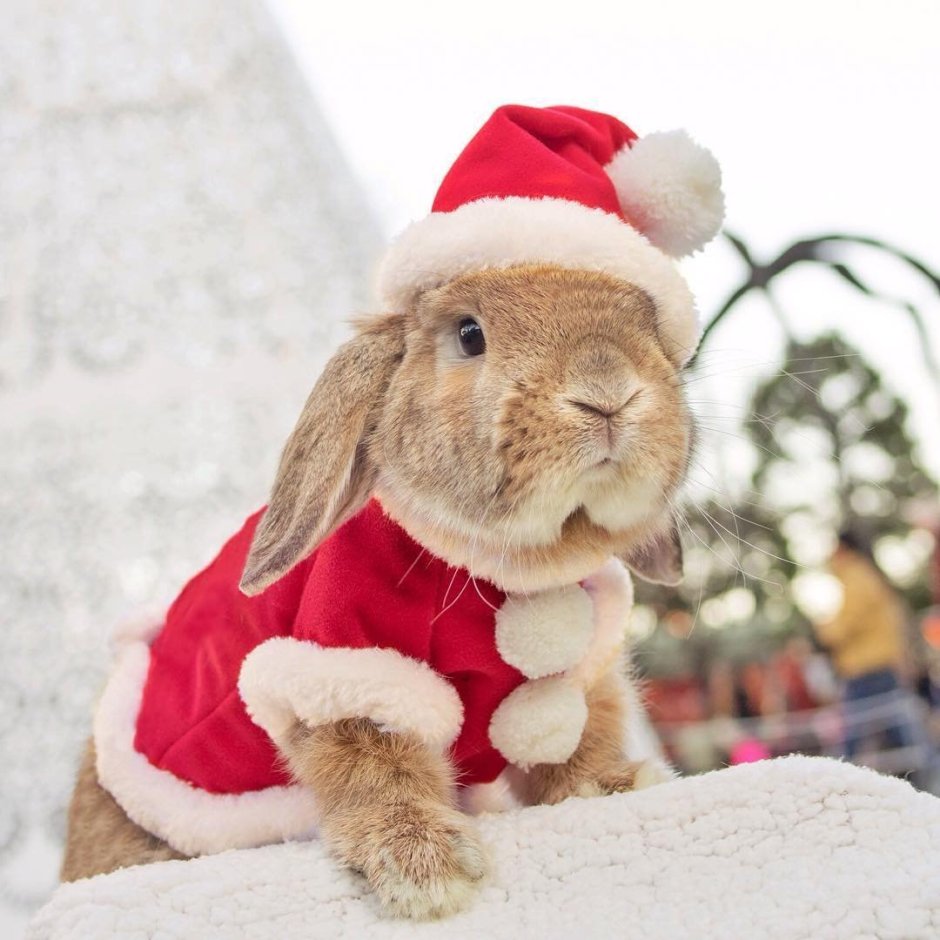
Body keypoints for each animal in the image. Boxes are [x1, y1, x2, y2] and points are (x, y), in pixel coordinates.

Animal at [62, 104, 724, 916]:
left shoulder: (581, 671)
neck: (504, 571)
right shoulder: (346, 664)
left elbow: (577, 735)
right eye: (469, 334)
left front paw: (617, 785)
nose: (607, 393)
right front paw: (427, 868)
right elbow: (373, 762)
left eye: (649, 328)